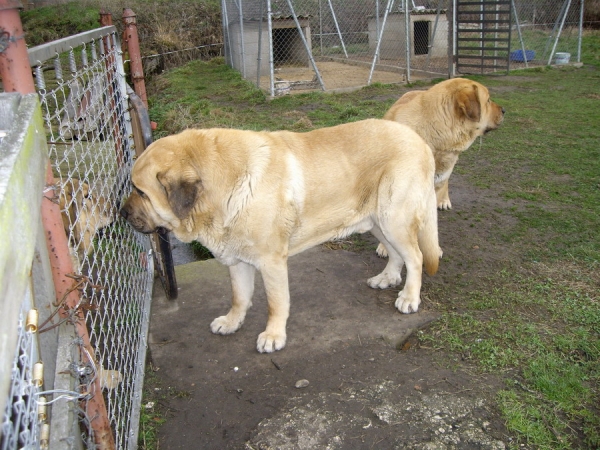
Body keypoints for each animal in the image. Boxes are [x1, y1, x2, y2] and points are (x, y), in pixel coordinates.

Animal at [119, 119, 442, 352]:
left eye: (140, 192)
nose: (121, 212)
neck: (220, 188)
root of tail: (421, 141)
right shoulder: (238, 260)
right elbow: (239, 297)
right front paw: (232, 322)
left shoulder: (271, 261)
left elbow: (276, 303)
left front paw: (273, 336)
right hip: (377, 220)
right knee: (397, 253)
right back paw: (387, 278)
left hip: (393, 217)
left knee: (415, 256)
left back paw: (409, 297)